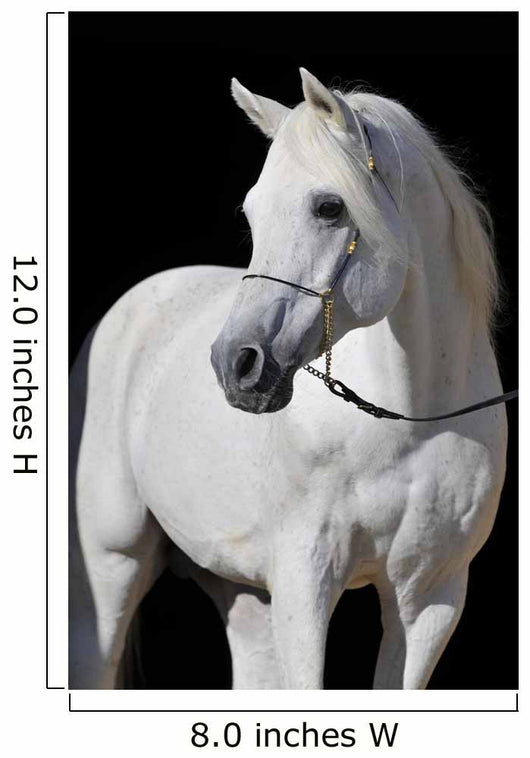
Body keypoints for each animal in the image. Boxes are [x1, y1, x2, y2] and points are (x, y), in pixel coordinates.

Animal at [69, 68, 508, 689]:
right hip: (111, 567)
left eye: (328, 207)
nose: (236, 364)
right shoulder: (305, 582)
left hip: (244, 594)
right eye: (252, 214)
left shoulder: (429, 600)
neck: (408, 423)